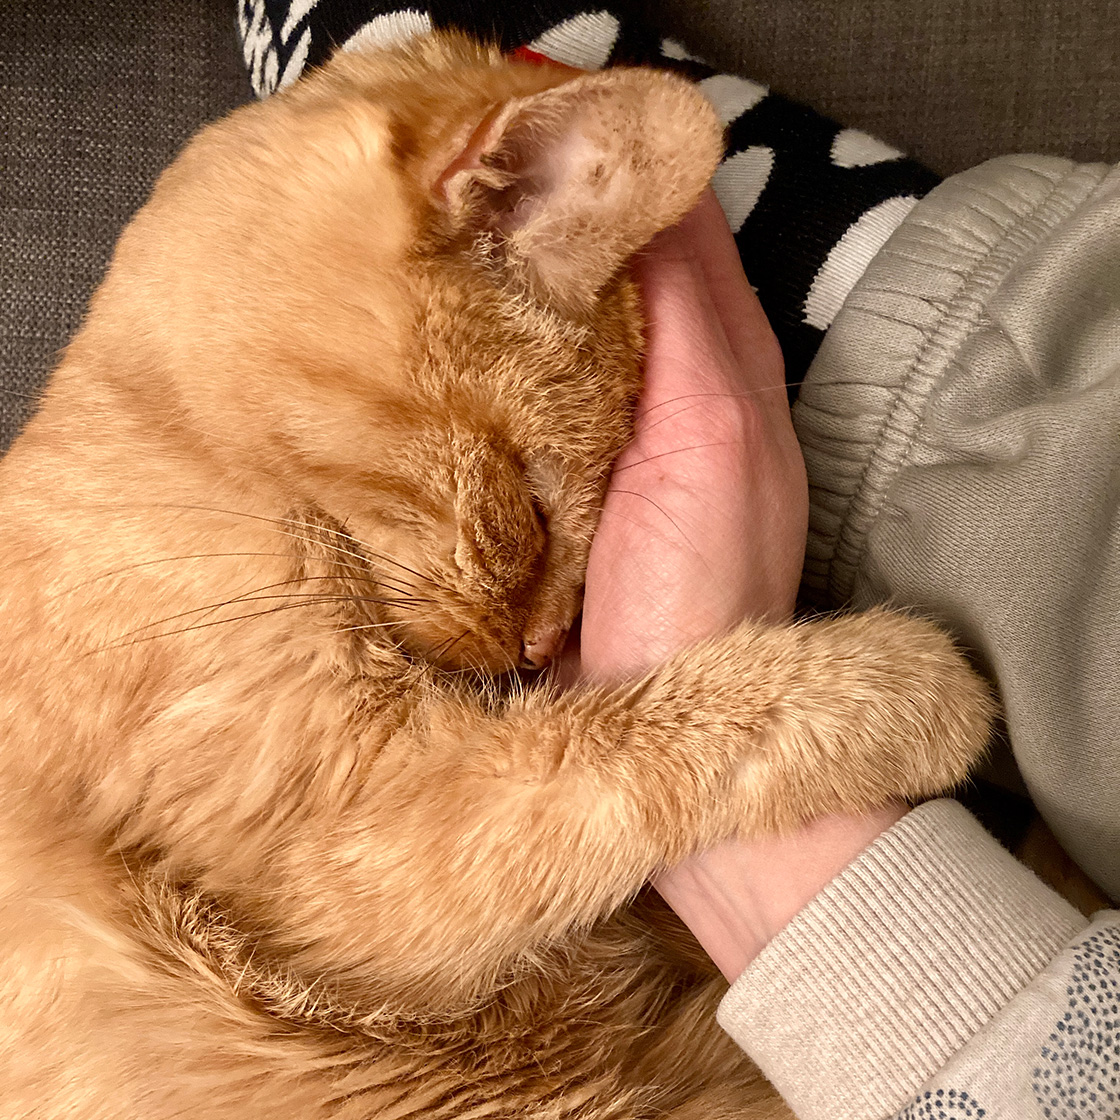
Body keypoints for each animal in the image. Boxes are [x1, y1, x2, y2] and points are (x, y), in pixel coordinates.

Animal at [0, 32, 992, 1119]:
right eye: (532, 512)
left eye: (592, 565)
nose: (542, 646)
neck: (185, 447)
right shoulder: (350, 851)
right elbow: (630, 738)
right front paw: (911, 683)